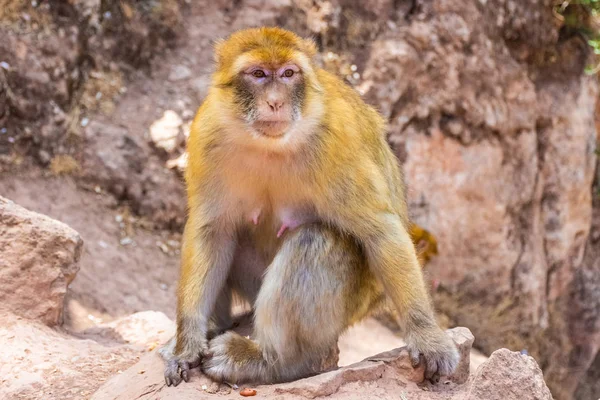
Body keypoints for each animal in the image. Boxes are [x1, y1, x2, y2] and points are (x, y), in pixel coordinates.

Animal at [159, 26, 460, 386]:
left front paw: (427, 335)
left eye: (289, 74)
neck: (269, 145)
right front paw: (186, 342)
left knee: (316, 238)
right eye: (259, 74)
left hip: (348, 309)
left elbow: (381, 232)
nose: (275, 101)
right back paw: (216, 328)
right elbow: (211, 232)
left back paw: (270, 361)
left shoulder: (337, 144)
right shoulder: (206, 133)